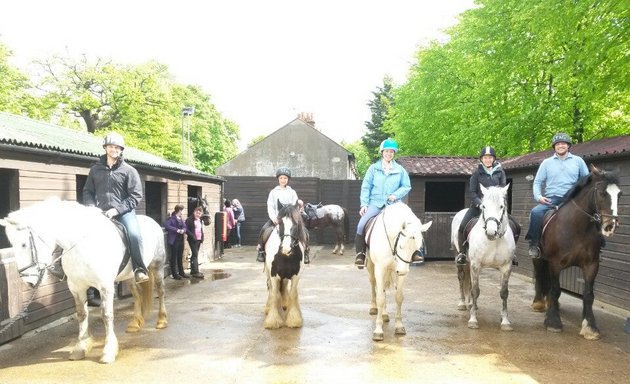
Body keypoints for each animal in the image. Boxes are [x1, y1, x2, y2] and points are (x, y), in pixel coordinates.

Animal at [0, 198, 168, 364]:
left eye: (23, 244)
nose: (28, 281)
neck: (81, 245)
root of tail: (152, 221)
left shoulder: (105, 287)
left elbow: (107, 315)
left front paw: (108, 351)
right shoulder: (76, 287)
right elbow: (81, 314)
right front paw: (80, 348)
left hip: (157, 266)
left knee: (160, 291)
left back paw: (161, 321)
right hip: (130, 277)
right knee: (137, 294)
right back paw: (134, 324)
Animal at [262, 201, 308, 330]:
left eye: (296, 223)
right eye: (280, 222)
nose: (286, 249)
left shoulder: (296, 275)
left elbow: (293, 294)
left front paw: (294, 319)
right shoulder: (273, 275)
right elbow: (274, 293)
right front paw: (273, 321)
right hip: (268, 272)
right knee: (271, 288)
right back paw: (269, 308)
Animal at [366, 202, 434, 340]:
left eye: (417, 247)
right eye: (401, 245)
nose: (402, 271)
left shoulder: (401, 273)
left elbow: (398, 297)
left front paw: (399, 326)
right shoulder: (380, 269)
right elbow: (380, 298)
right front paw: (378, 330)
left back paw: (385, 314)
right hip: (371, 267)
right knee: (373, 285)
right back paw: (373, 308)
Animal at [454, 184, 520, 332]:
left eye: (502, 206)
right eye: (483, 206)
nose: (491, 232)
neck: (493, 241)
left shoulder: (506, 267)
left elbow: (504, 292)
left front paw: (505, 321)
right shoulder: (476, 264)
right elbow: (475, 290)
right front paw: (473, 320)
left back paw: (471, 304)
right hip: (463, 261)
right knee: (461, 278)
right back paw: (462, 303)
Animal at [536, 165, 624, 340]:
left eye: (619, 194)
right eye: (602, 193)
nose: (610, 227)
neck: (577, 228)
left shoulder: (591, 265)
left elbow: (588, 294)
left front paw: (590, 327)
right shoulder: (555, 263)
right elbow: (556, 289)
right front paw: (553, 322)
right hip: (540, 259)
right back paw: (538, 303)